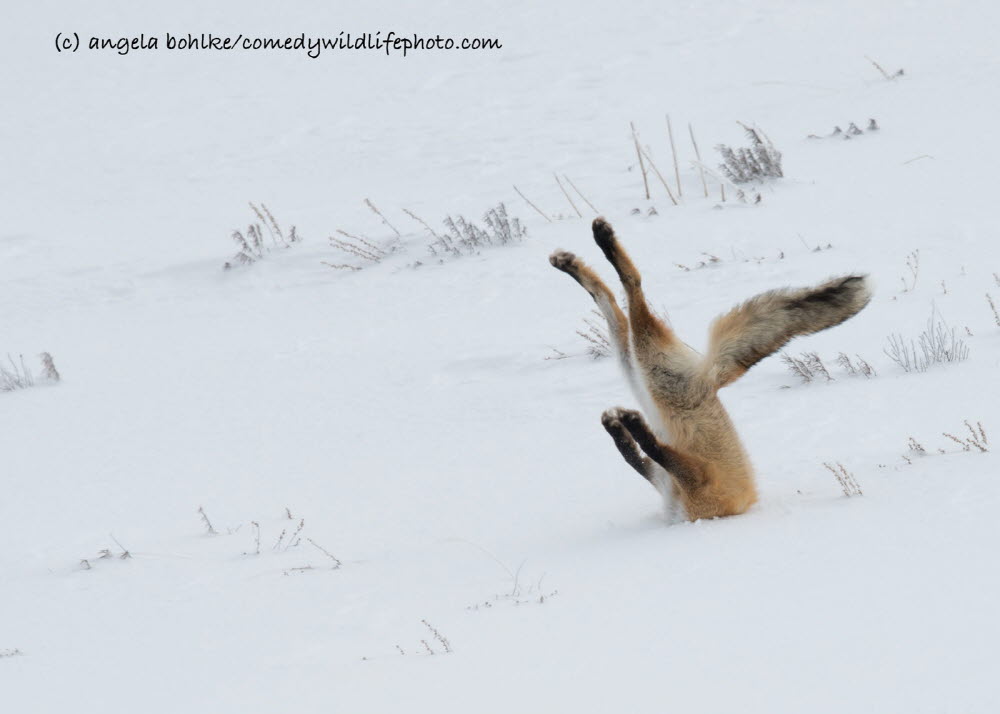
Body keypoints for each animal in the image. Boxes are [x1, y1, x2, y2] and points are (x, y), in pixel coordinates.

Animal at [552, 216, 872, 516]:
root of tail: (711, 379)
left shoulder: (697, 480)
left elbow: (649, 450)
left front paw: (629, 424)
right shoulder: (669, 480)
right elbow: (634, 455)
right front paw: (619, 427)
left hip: (649, 367)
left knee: (632, 288)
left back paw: (601, 242)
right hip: (636, 365)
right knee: (609, 299)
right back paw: (573, 261)